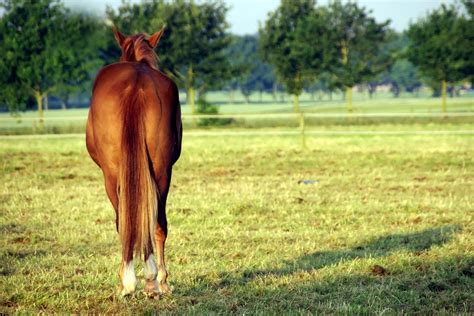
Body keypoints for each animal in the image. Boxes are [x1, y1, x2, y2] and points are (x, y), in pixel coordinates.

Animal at [85, 25, 181, 298]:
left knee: (125, 223)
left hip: (111, 175)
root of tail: (136, 85)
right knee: (157, 224)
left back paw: (135, 281)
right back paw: (154, 281)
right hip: (161, 171)